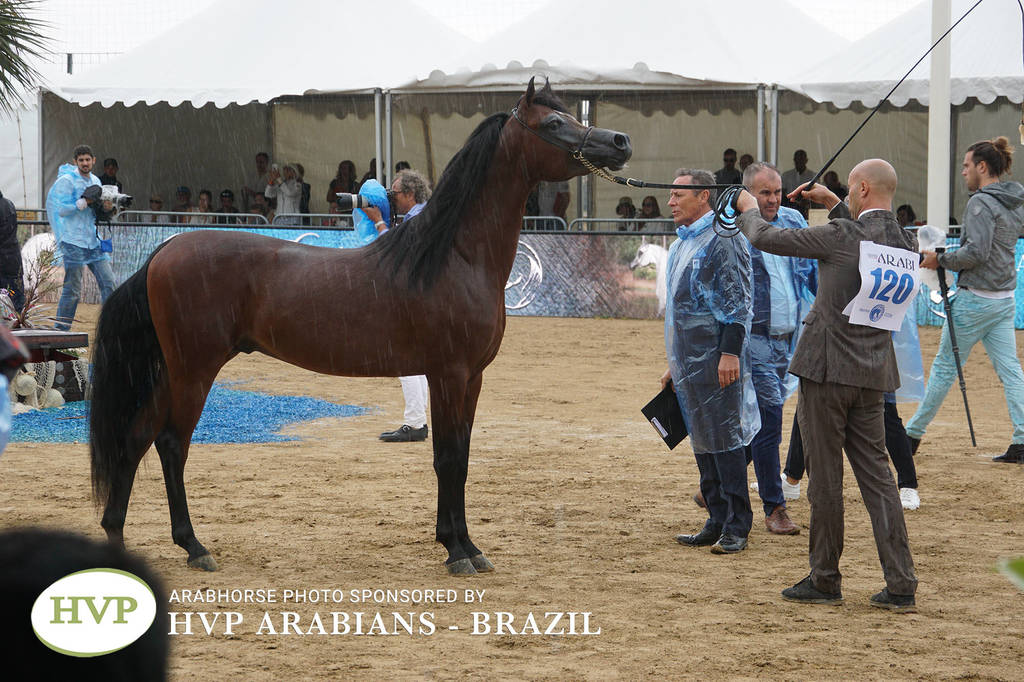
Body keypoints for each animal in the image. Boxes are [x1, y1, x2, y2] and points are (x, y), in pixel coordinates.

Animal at [89, 78, 631, 576]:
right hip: (194, 371)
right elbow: (447, 457)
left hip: (171, 371)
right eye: (554, 123)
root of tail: (163, 251)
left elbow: (461, 455)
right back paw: (194, 546)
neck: (454, 257)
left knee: (136, 438)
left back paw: (117, 536)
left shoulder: (471, 378)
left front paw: (469, 546)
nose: (620, 142)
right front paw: (456, 551)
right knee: (171, 444)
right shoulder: (449, 374)